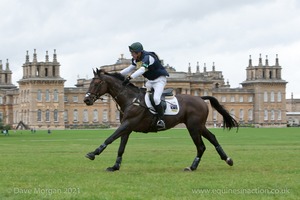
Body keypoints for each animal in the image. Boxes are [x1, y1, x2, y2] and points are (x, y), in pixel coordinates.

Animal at [83, 68, 238, 171]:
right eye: (89, 83)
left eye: (97, 83)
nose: (86, 100)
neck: (131, 99)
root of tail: (200, 98)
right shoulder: (126, 127)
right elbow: (121, 147)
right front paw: (115, 166)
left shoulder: (128, 124)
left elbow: (110, 138)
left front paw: (93, 153)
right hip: (199, 126)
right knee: (212, 138)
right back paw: (227, 159)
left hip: (193, 127)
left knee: (201, 146)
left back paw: (192, 167)